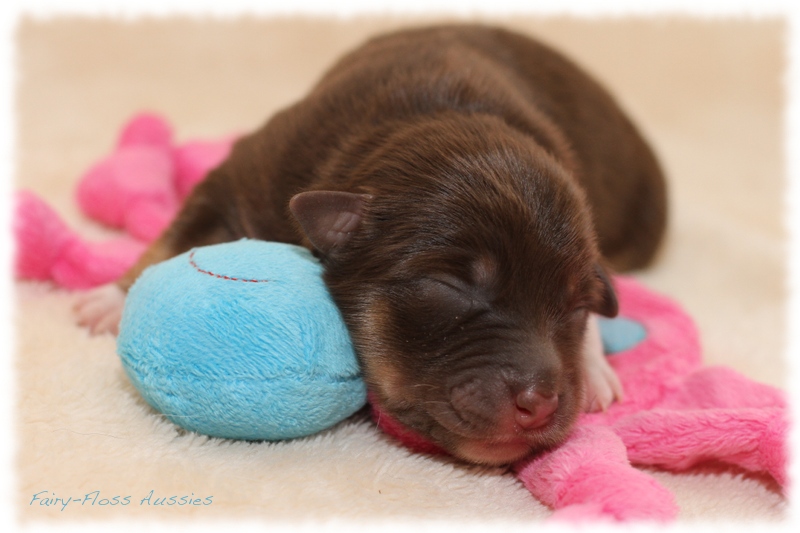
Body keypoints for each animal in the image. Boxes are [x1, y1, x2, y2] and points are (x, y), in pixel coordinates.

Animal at [75, 25, 664, 466]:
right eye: (450, 286)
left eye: (576, 307)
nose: (540, 405)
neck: (436, 116)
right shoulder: (246, 173)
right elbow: (175, 231)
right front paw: (112, 298)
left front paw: (593, 364)